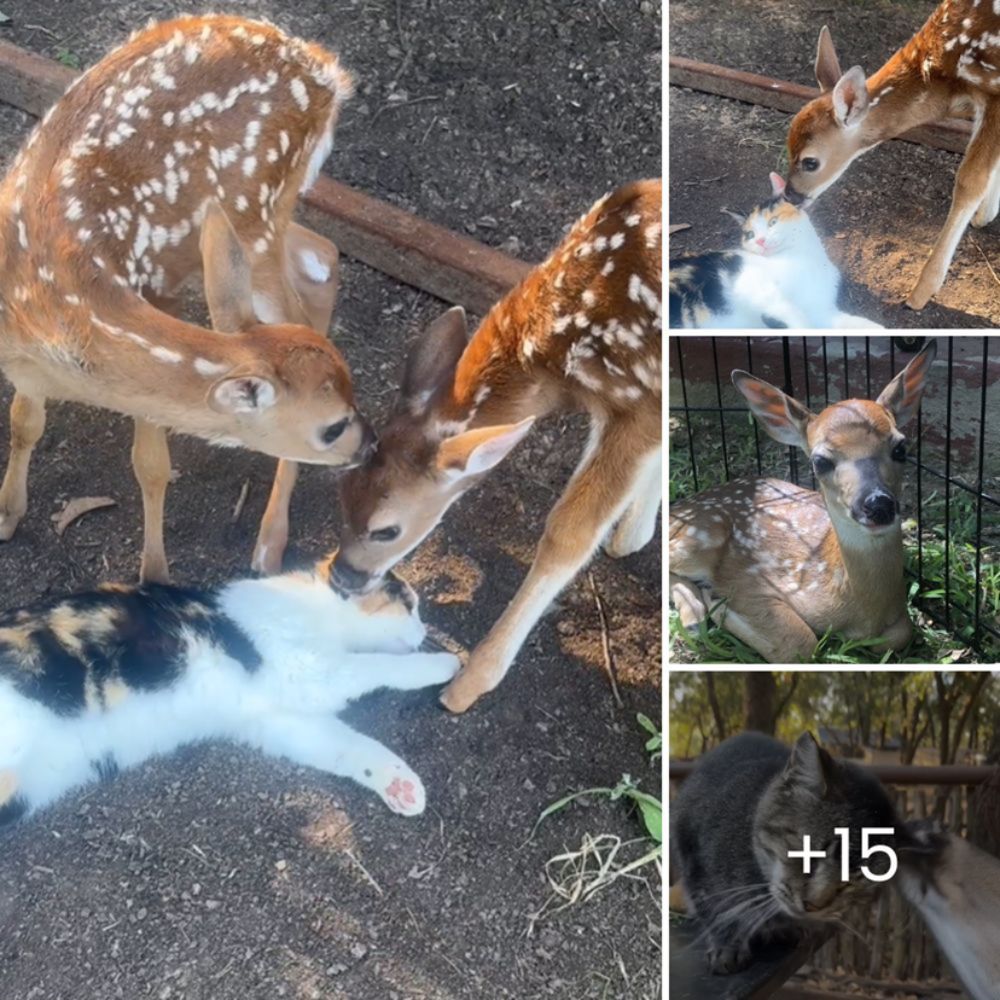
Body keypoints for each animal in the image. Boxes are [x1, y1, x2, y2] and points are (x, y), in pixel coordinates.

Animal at [0, 556, 460, 828]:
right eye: (409, 605)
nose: (424, 629)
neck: (316, 613)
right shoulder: (308, 670)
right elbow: (378, 666)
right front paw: (446, 662)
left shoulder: (280, 720)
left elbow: (350, 746)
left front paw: (399, 784)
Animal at [672, 172, 884, 328]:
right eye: (750, 234)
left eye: (773, 222)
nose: (760, 241)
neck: (806, 259)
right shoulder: (750, 281)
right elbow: (794, 315)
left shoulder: (820, 309)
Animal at [672, 732, 900, 972]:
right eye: (810, 852)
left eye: (850, 884)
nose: (812, 906)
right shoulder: (695, 858)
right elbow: (717, 907)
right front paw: (727, 944)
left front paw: (784, 926)